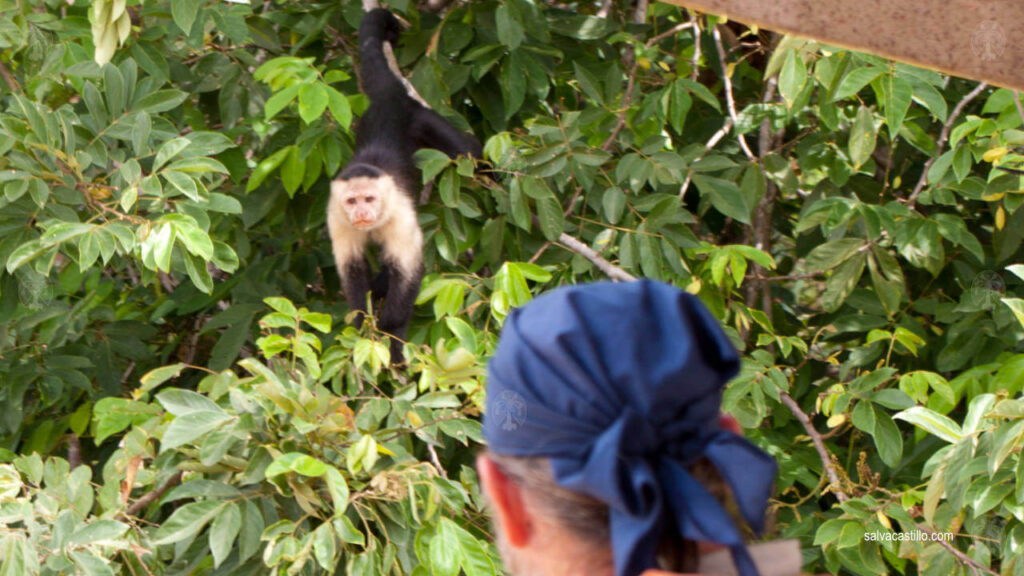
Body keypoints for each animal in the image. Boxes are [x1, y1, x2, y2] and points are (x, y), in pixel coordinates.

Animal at [329, 8, 485, 362]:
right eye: (352, 202)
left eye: (370, 199)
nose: (361, 213)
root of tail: (388, 98)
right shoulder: (335, 217)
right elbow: (352, 269)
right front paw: (362, 323)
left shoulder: (398, 211)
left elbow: (409, 265)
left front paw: (392, 332)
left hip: (419, 116)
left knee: (469, 151)